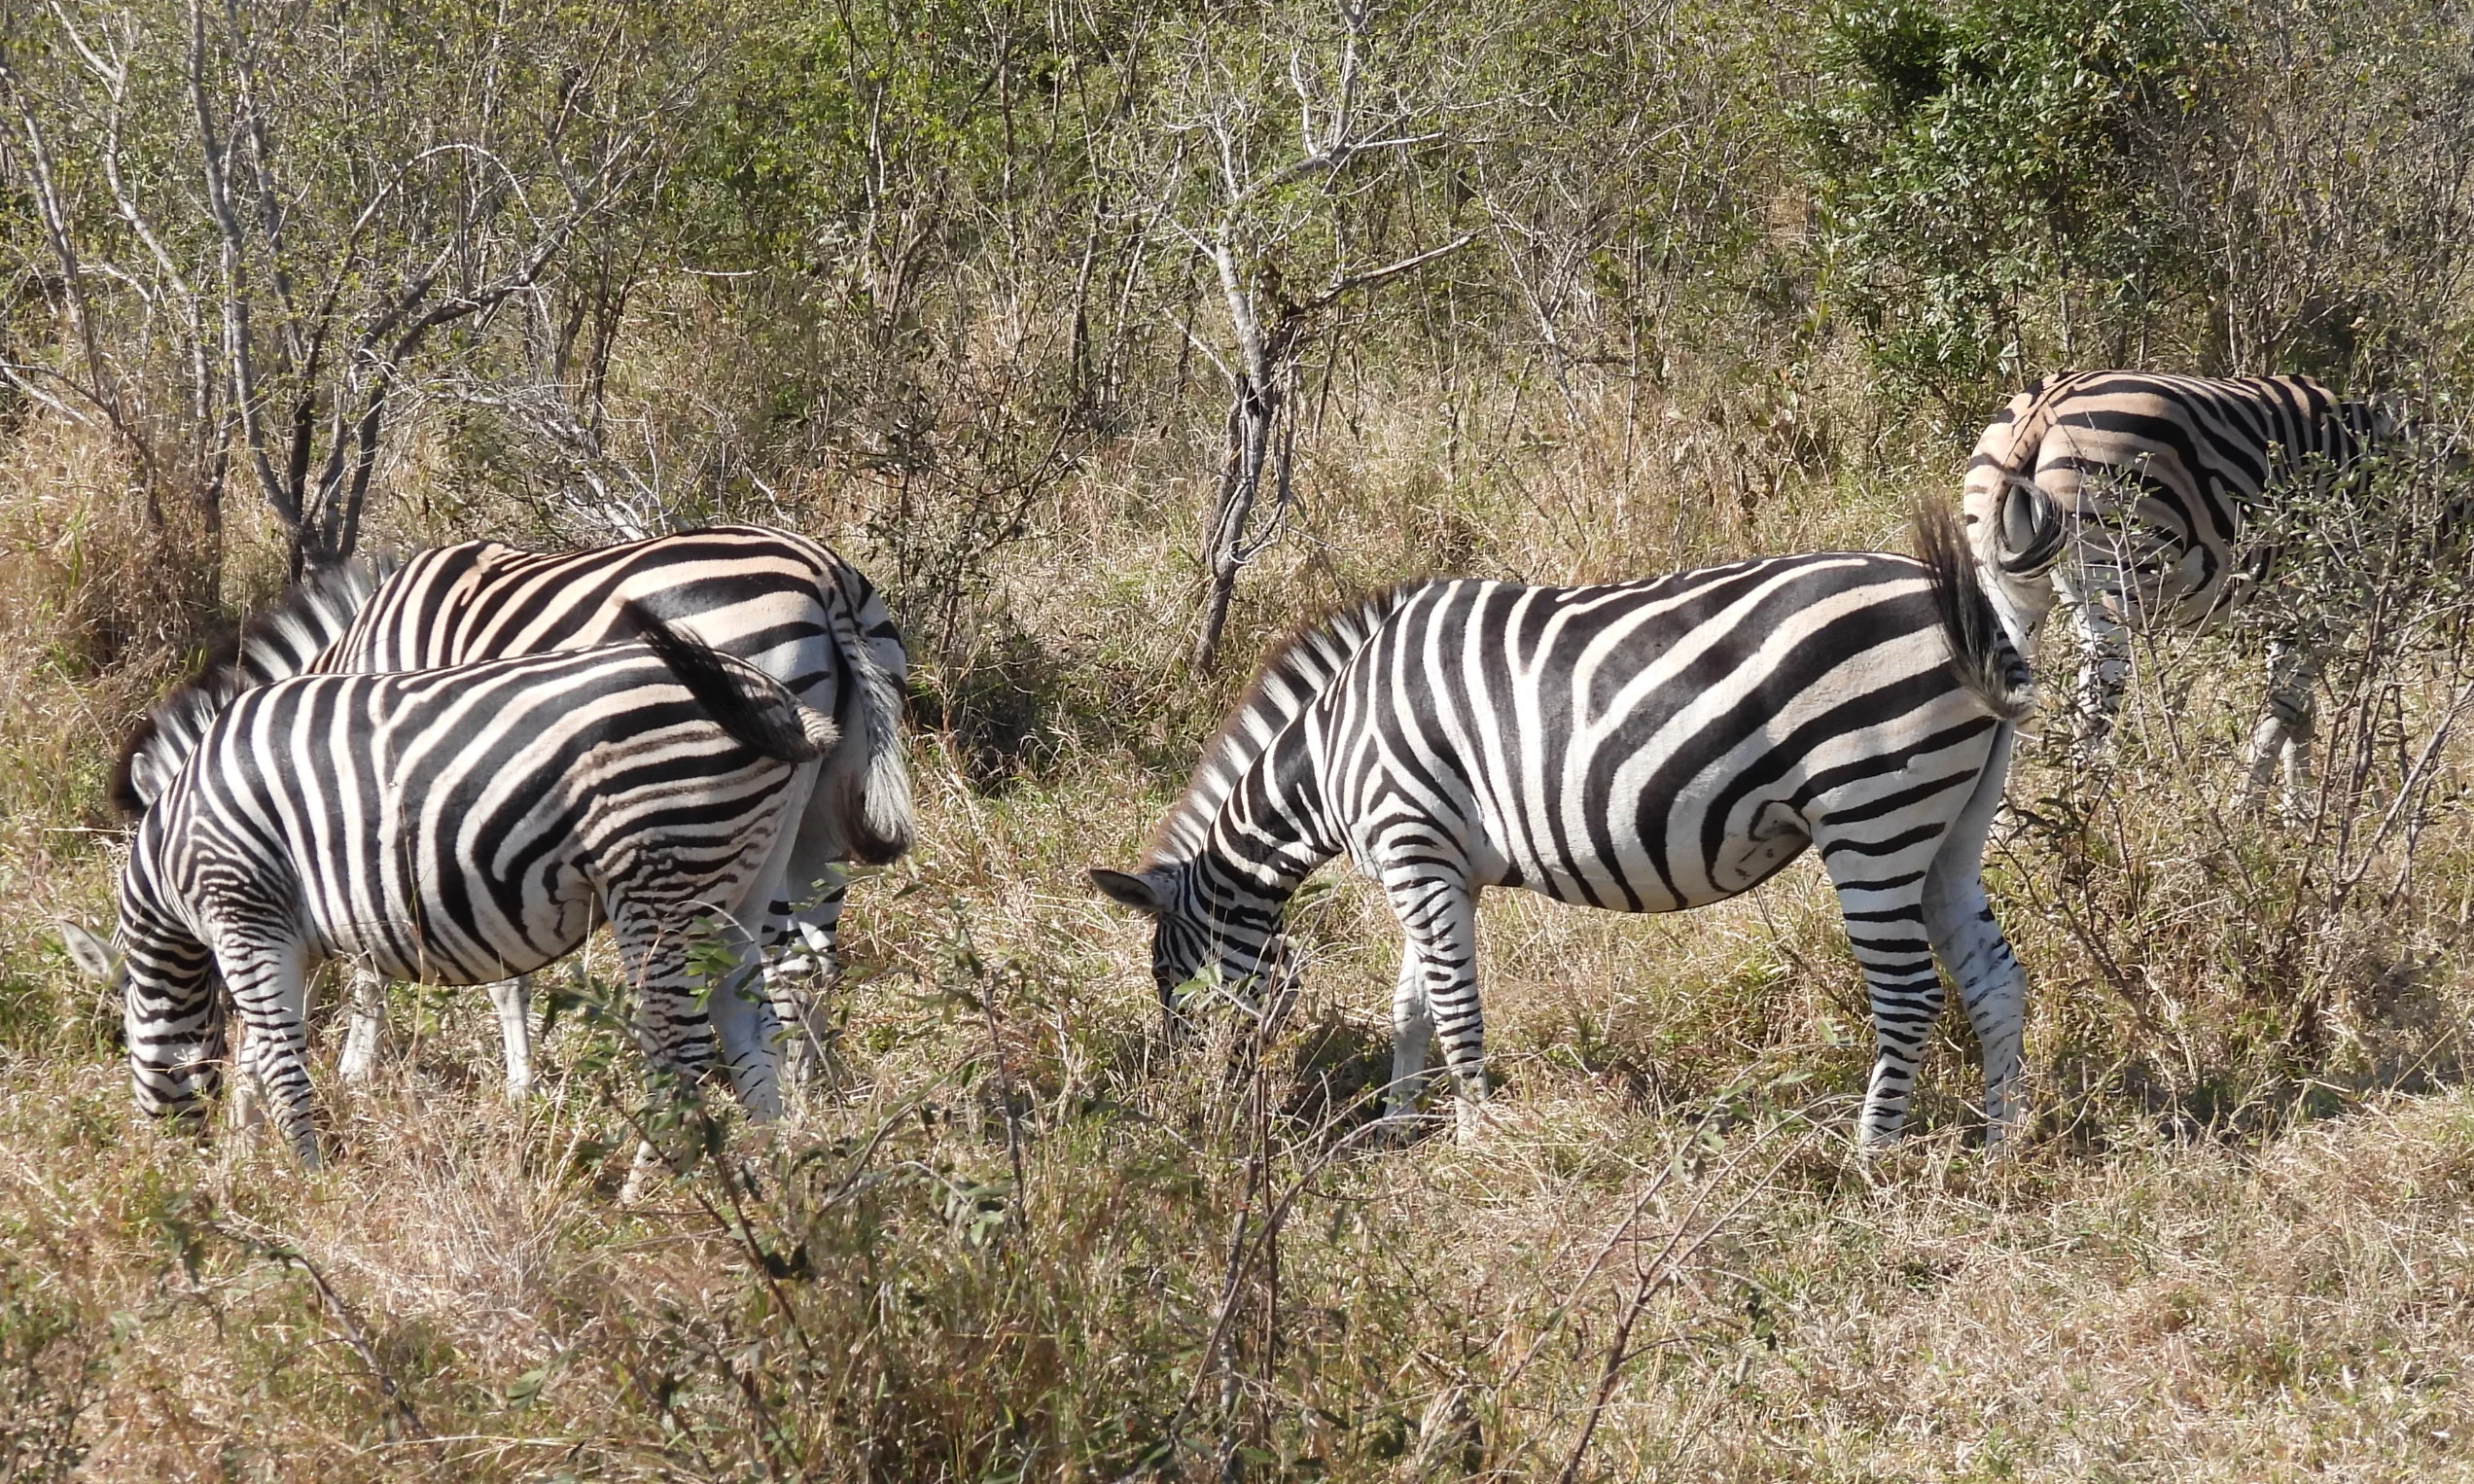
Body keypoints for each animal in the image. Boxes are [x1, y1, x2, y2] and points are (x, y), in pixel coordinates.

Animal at [62, 608, 840, 1167]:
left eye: (120, 1030)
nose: (168, 1166)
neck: (169, 858)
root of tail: (776, 701)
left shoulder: (241, 916)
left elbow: (280, 1066)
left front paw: (307, 1187)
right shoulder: (290, 942)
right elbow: (256, 1057)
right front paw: (245, 1167)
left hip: (656, 877)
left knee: (682, 1053)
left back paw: (646, 1189)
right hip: (743, 878)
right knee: (747, 1029)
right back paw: (774, 1182)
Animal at [111, 526, 915, 1093]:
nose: (196, 1089)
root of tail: (827, 579)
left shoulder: (405, 803)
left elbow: (412, 953)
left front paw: (380, 1070)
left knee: (782, 962)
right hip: (818, 815)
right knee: (814, 959)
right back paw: (813, 1096)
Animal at [1093, 507, 2038, 1148]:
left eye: (1172, 983)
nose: (1199, 1111)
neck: (1331, 754)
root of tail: (1976, 612)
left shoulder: (1413, 848)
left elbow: (1454, 1009)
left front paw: (1475, 1143)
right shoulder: (1433, 865)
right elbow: (1410, 1008)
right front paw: (1398, 1130)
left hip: (1870, 807)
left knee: (1909, 995)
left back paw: (1868, 1156)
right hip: (1948, 827)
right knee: (1996, 981)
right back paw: (2000, 1147)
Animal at [1949, 375, 2414, 806]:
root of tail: (2044, 409)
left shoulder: (2286, 611)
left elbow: (2298, 711)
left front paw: (2290, 810)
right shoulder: (2326, 599)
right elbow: (2285, 709)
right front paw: (2255, 812)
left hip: (2009, 594)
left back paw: (2006, 826)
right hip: (2112, 579)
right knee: (2091, 718)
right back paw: (2085, 820)